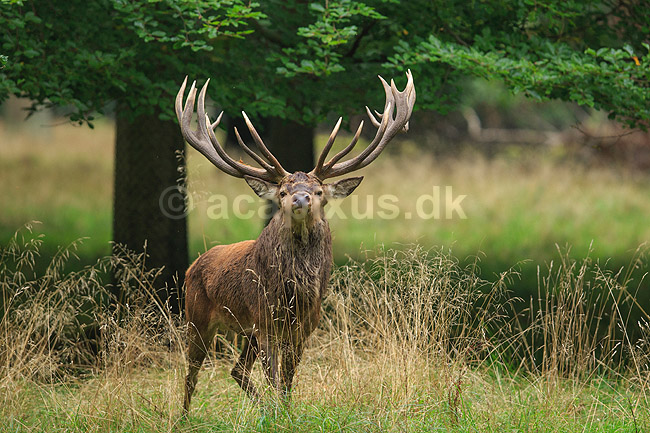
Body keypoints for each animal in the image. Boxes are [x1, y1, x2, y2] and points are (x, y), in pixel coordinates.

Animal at [175, 71, 415, 413]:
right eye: (282, 191)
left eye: (318, 191)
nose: (300, 198)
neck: (296, 296)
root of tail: (192, 265)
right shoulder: (266, 321)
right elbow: (276, 378)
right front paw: (279, 413)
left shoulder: (304, 326)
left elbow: (288, 381)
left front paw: (286, 413)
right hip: (196, 316)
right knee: (192, 375)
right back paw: (183, 418)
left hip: (244, 330)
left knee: (237, 370)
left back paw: (262, 408)